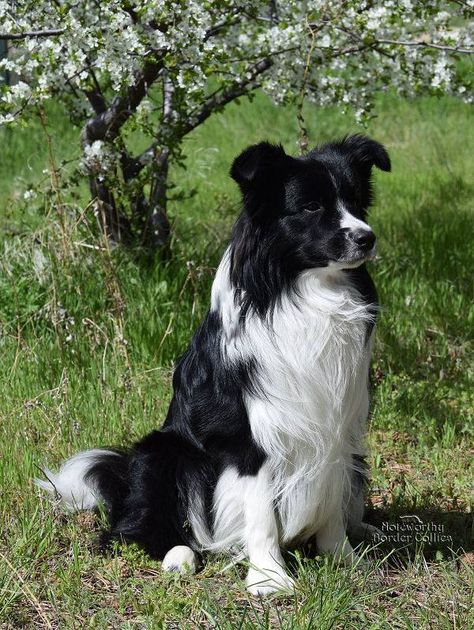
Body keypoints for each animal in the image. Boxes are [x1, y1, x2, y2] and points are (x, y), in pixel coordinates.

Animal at [37, 135, 390, 596]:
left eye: (356, 202)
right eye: (312, 207)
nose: (366, 238)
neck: (300, 292)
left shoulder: (337, 427)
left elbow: (330, 504)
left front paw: (344, 560)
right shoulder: (247, 435)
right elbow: (261, 513)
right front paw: (269, 578)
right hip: (164, 453)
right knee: (139, 530)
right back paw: (179, 557)